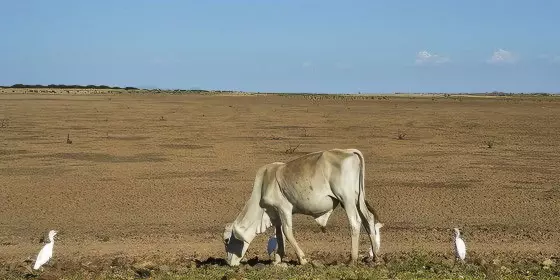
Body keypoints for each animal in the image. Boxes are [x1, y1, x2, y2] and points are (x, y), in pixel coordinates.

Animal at [222, 148, 380, 266]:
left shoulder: (284, 208)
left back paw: (352, 259)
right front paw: (277, 260)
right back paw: (375, 257)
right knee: (368, 219)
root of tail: (349, 151)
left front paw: (302, 259)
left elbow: (287, 233)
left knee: (355, 222)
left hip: (346, 199)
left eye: (227, 240)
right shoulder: (276, 214)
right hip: (358, 199)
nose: (229, 263)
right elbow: (279, 234)